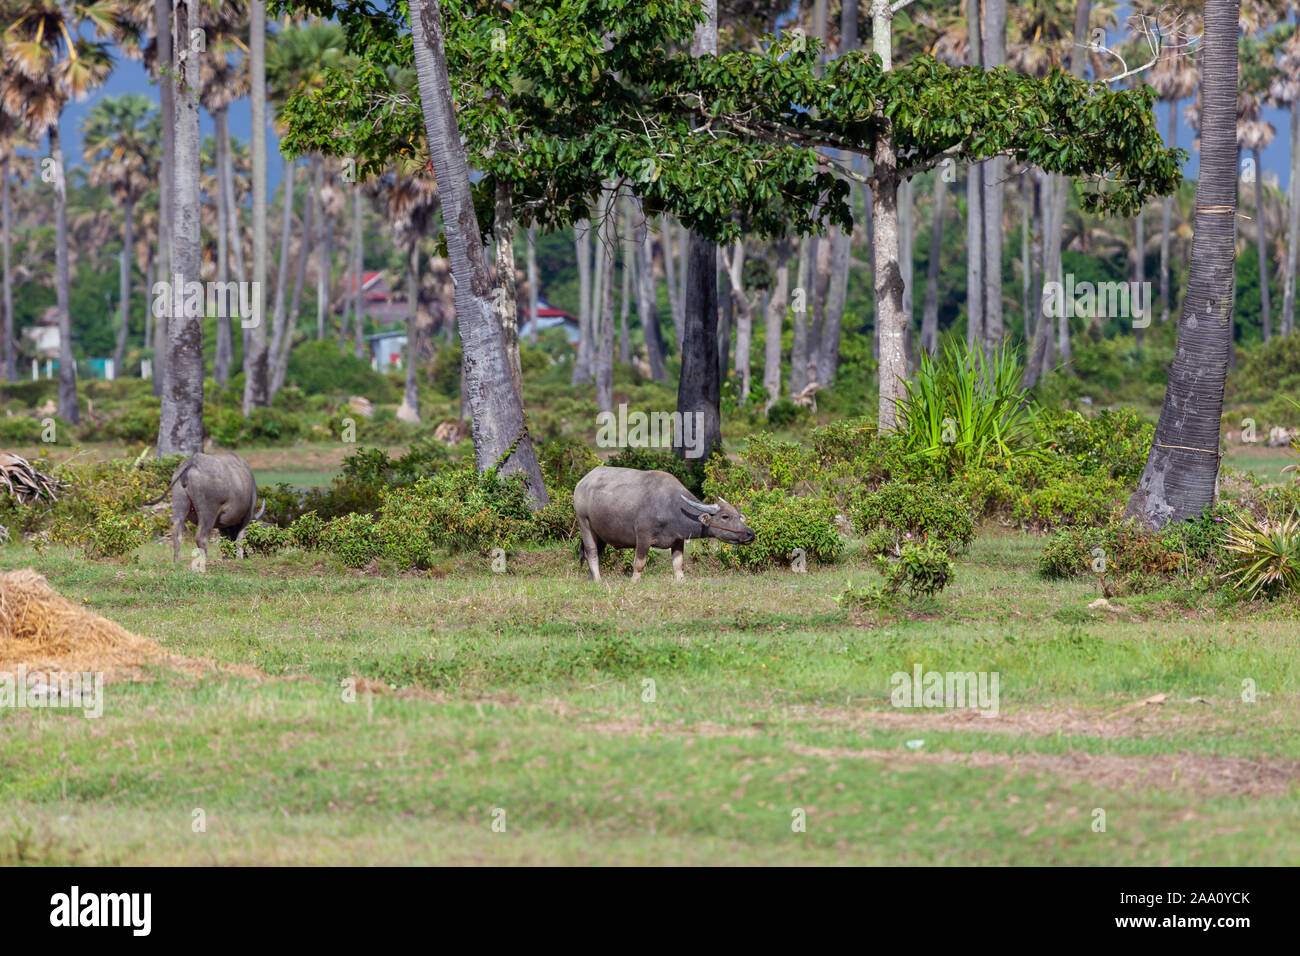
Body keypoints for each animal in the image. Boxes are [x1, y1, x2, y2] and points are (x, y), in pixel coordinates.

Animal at [574, 465, 759, 582]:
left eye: (739, 516)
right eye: (725, 517)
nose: (750, 533)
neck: (670, 507)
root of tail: (581, 483)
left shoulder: (678, 540)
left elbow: (678, 564)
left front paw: (680, 581)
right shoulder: (643, 536)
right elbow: (639, 564)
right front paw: (634, 582)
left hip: (601, 533)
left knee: (598, 552)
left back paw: (592, 579)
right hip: (584, 523)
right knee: (592, 552)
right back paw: (598, 580)